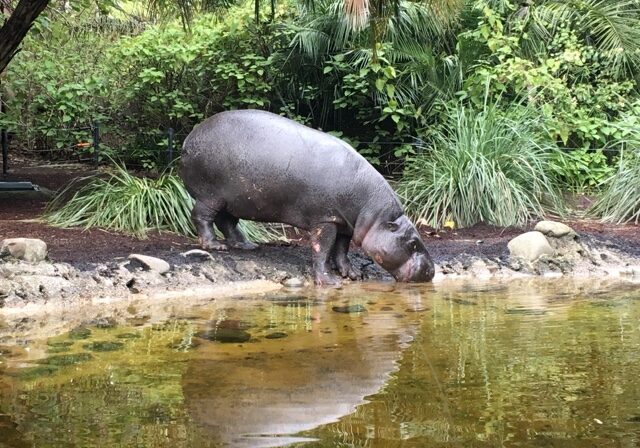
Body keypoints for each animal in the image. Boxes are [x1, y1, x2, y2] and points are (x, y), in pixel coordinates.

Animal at [180, 109, 435, 285]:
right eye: (413, 243)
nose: (432, 271)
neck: (374, 215)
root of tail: (188, 138)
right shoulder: (325, 220)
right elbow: (322, 249)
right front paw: (330, 282)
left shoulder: (344, 224)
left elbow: (341, 251)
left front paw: (353, 274)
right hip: (211, 196)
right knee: (202, 217)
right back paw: (214, 245)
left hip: (234, 201)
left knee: (227, 222)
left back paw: (247, 245)